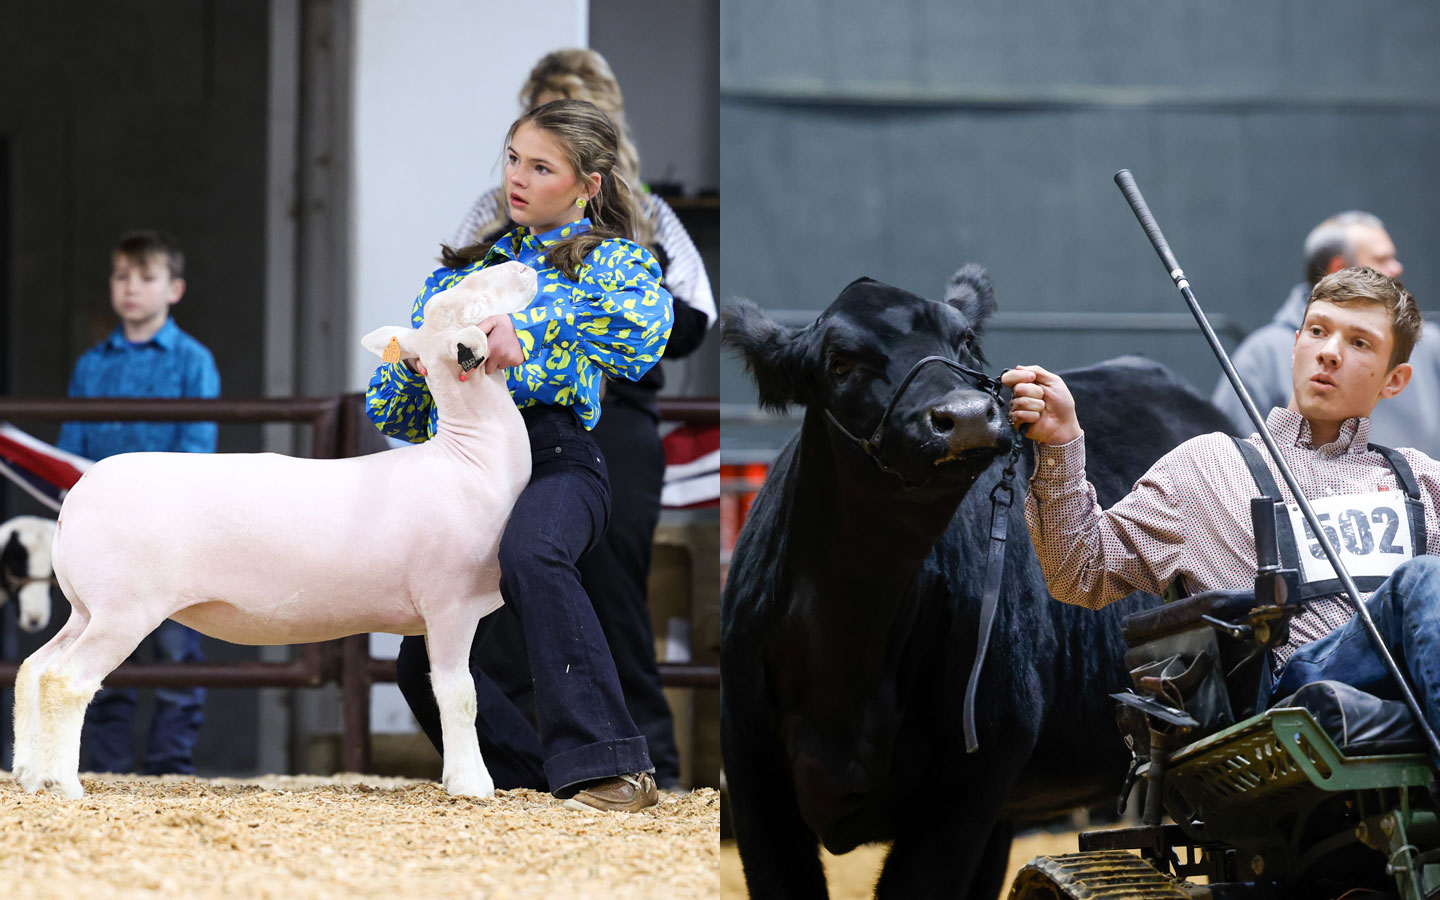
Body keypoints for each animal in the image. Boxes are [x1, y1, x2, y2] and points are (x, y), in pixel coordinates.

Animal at [11, 260, 536, 799]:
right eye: (474, 306)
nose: (521, 266)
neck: (470, 457)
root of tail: (77, 494)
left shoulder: (435, 617)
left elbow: (437, 688)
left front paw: (455, 776)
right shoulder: (450, 604)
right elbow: (459, 694)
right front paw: (473, 785)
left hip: (86, 606)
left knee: (34, 669)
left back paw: (31, 774)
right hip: (123, 610)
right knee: (66, 679)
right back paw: (63, 784)